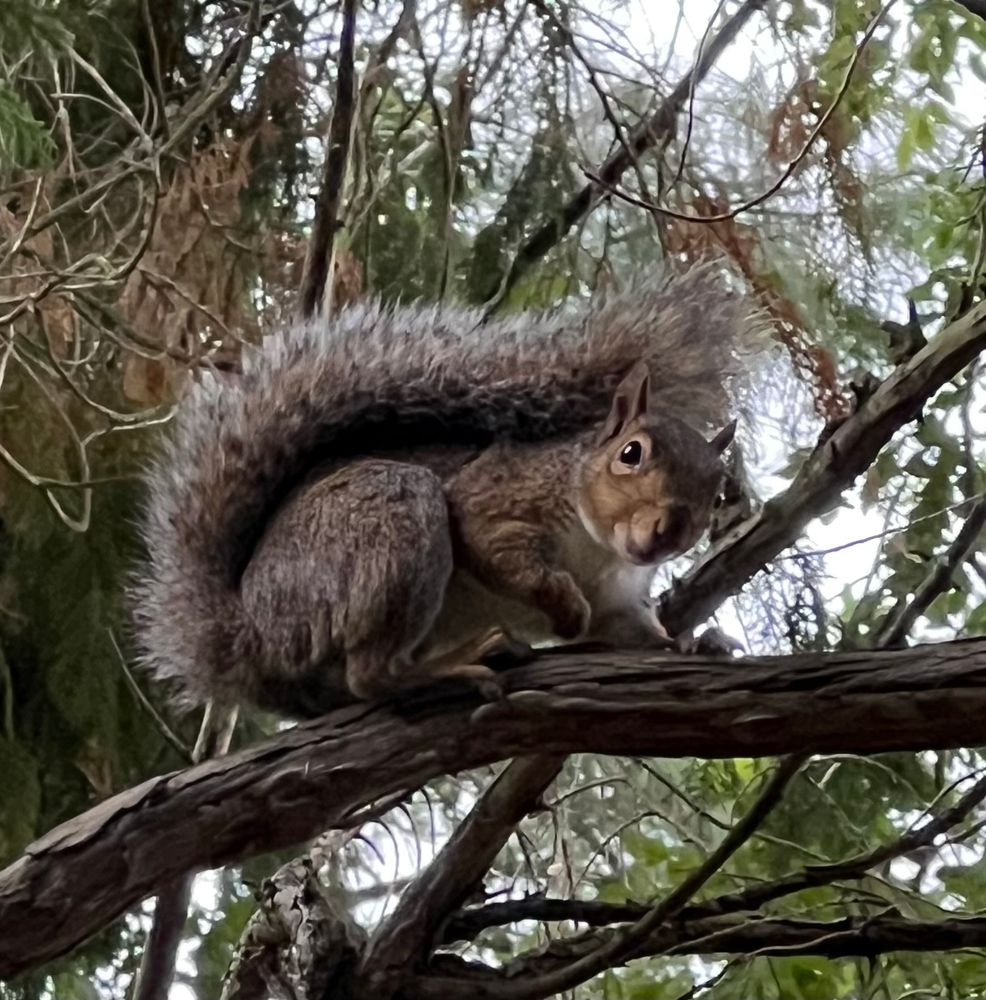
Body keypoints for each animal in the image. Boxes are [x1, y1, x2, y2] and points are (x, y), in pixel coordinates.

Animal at [132, 265, 762, 718]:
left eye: (716, 490)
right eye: (631, 454)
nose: (665, 533)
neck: (597, 547)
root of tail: (251, 634)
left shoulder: (620, 601)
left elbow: (634, 635)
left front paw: (693, 644)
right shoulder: (494, 498)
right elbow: (498, 553)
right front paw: (563, 606)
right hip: (390, 521)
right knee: (371, 673)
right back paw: (457, 664)